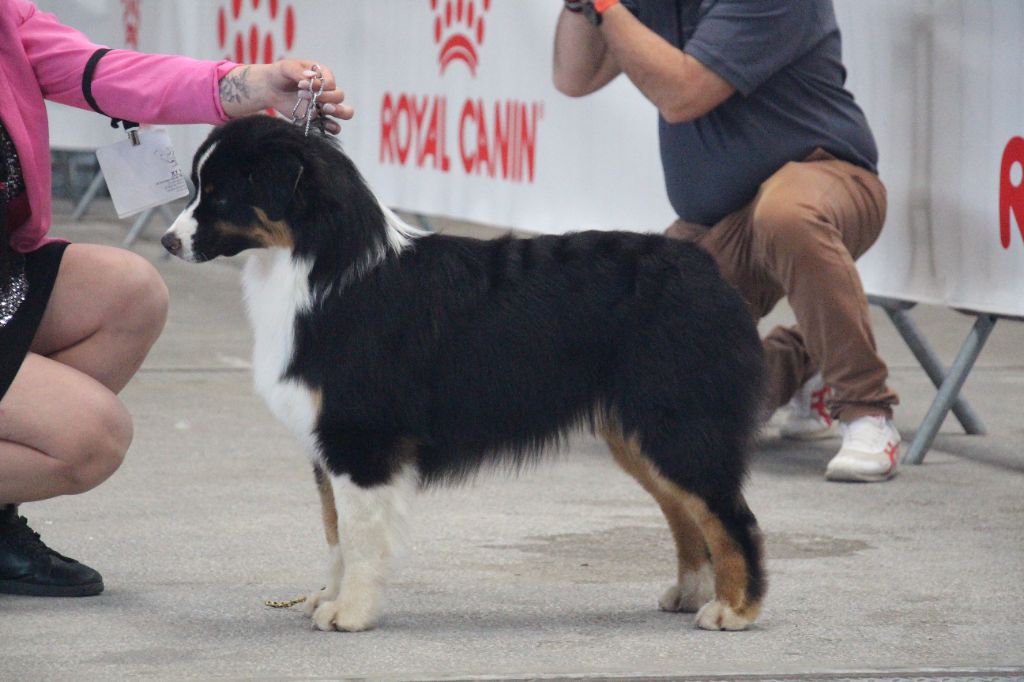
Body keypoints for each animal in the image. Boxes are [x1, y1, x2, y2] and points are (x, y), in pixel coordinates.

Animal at [161, 114, 770, 630]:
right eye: (196, 187)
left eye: (219, 193)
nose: (167, 241)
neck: (319, 270)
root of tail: (706, 268)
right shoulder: (327, 446)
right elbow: (334, 532)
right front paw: (328, 598)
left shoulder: (359, 439)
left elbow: (358, 536)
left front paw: (350, 613)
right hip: (640, 431)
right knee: (686, 513)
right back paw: (690, 592)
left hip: (677, 420)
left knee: (730, 515)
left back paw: (733, 609)